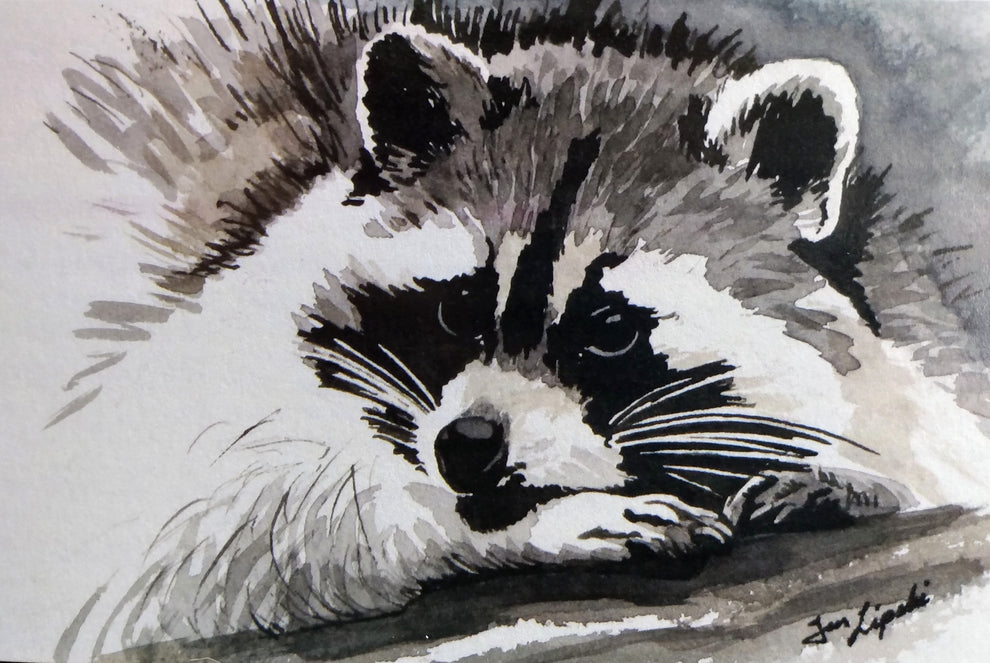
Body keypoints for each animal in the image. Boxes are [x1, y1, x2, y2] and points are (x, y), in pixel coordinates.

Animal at [51, 0, 990, 659]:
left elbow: (938, 430)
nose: (467, 447)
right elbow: (204, 532)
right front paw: (530, 525)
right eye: (456, 309)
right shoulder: (215, 344)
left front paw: (856, 473)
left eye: (608, 329)